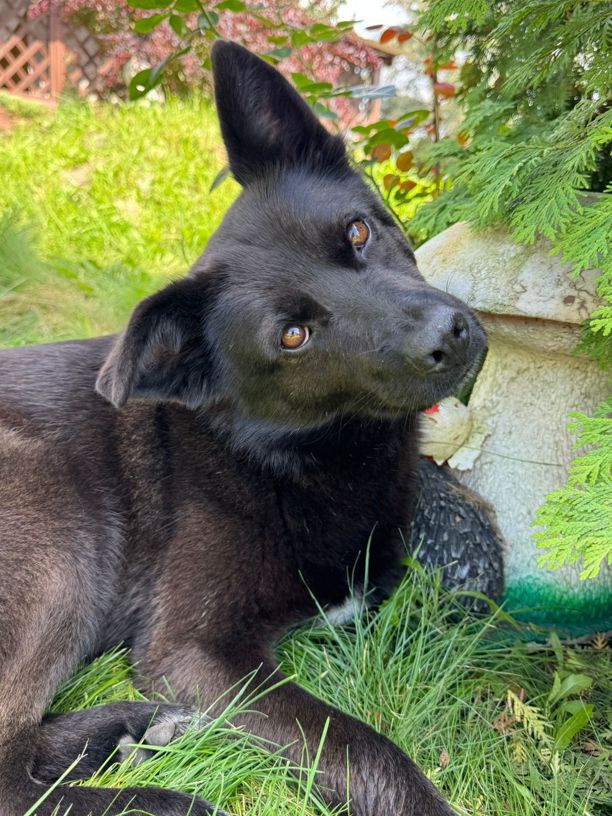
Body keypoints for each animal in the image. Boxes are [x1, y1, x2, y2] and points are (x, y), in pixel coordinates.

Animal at [0, 41, 486, 816]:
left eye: (358, 231)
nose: (450, 336)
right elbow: (361, 745)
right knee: (9, 773)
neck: (283, 457)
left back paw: (139, 725)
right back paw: (163, 797)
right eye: (292, 335)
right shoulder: (196, 652)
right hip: (57, 528)